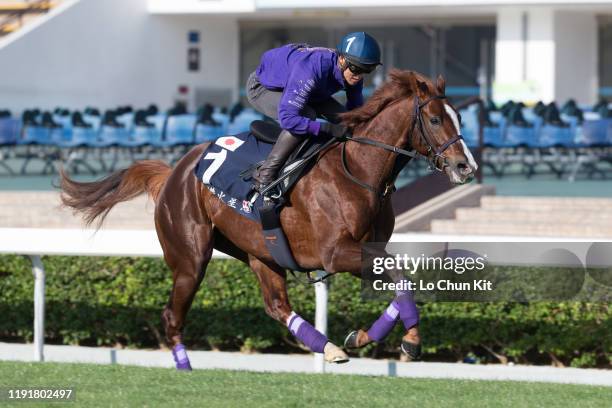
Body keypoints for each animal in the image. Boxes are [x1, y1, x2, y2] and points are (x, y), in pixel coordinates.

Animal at [58, 70, 478, 370]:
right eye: (436, 119)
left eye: (459, 117)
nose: (466, 167)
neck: (359, 170)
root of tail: (174, 172)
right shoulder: (336, 252)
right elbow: (401, 277)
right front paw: (410, 340)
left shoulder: (365, 250)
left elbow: (401, 279)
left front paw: (361, 337)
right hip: (190, 258)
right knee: (172, 314)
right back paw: (184, 367)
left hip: (262, 252)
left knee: (276, 305)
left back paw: (328, 347)